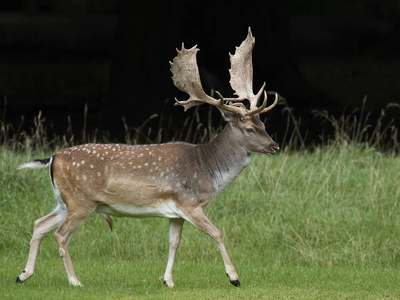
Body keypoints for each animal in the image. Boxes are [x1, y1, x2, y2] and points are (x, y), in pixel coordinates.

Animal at [14, 28, 278, 288]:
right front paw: (234, 277)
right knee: (60, 234)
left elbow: (174, 242)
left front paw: (168, 281)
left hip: (64, 200)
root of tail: (53, 158)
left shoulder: (176, 213)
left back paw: (23, 274)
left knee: (39, 224)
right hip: (81, 201)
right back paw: (74, 281)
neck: (206, 169)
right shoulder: (189, 203)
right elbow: (217, 233)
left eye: (263, 124)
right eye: (249, 129)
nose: (274, 146)